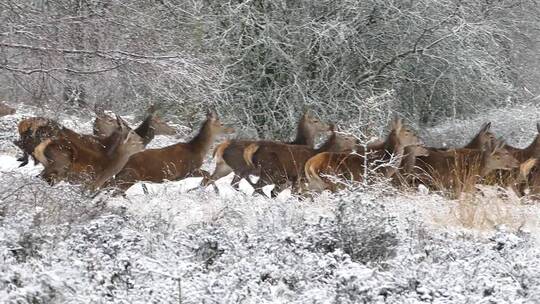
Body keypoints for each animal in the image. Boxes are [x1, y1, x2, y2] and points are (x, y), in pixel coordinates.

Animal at [201, 110, 330, 189]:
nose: (329, 126)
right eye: (316, 120)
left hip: (224, 167)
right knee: (234, 183)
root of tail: (221, 146)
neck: (301, 142)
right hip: (241, 167)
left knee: (208, 179)